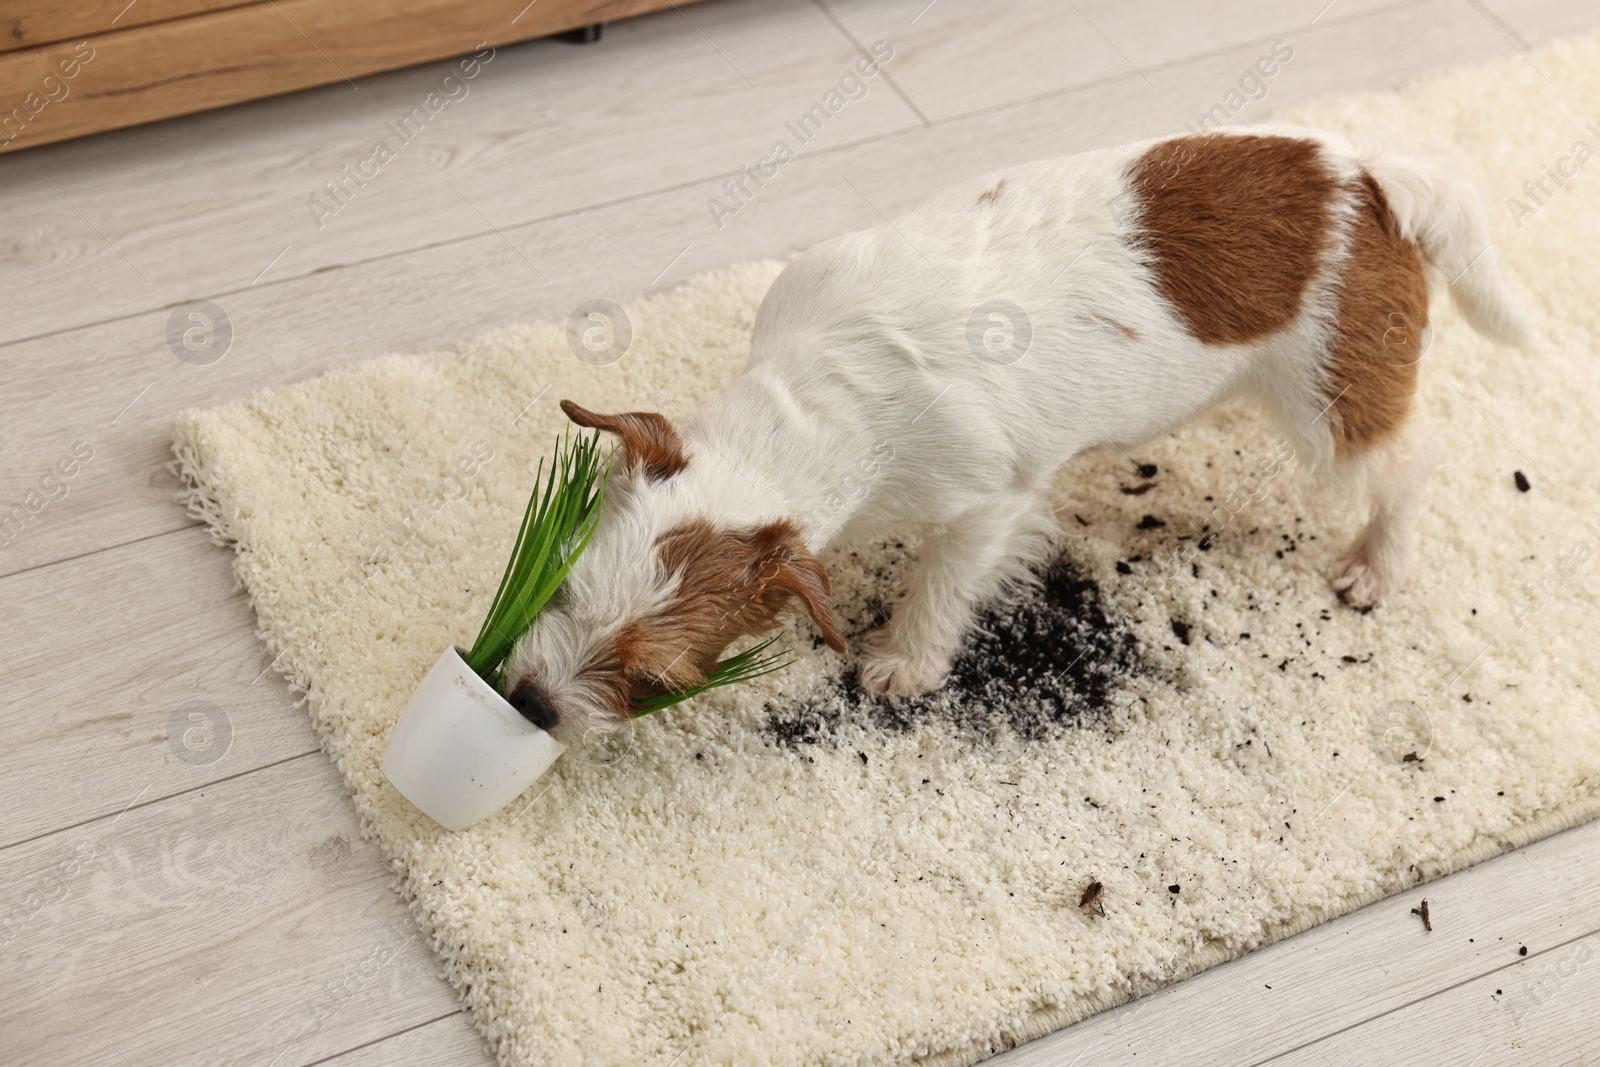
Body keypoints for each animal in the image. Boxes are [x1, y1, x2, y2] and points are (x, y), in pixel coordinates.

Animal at [505, 125, 1529, 748]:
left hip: (1331, 403)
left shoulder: (988, 503)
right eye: (562, 584)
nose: (528, 701)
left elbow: (943, 581)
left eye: (657, 678)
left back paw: (1378, 562)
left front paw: (905, 661)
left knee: (1407, 462)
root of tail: (1375, 180)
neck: (822, 392)